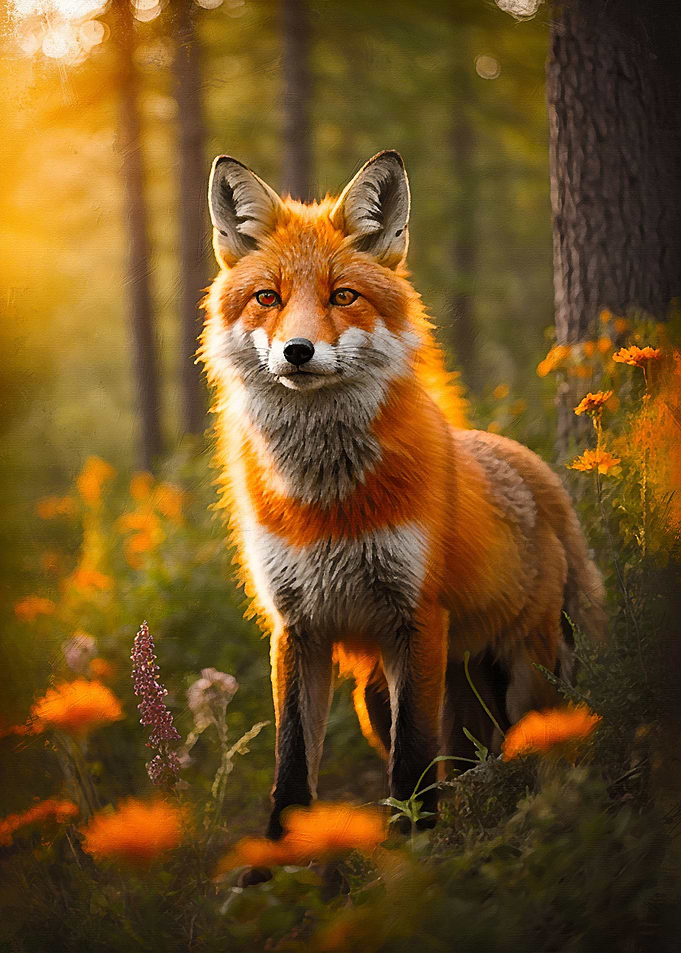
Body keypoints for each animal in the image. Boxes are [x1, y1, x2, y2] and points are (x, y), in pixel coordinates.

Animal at [200, 150, 606, 848]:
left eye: (342, 295)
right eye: (267, 298)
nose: (298, 351)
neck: (327, 504)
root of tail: (538, 473)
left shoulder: (417, 618)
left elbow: (412, 765)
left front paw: (413, 851)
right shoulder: (297, 627)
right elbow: (291, 771)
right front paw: (275, 867)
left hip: (526, 677)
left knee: (521, 746)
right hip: (380, 696)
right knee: (463, 756)